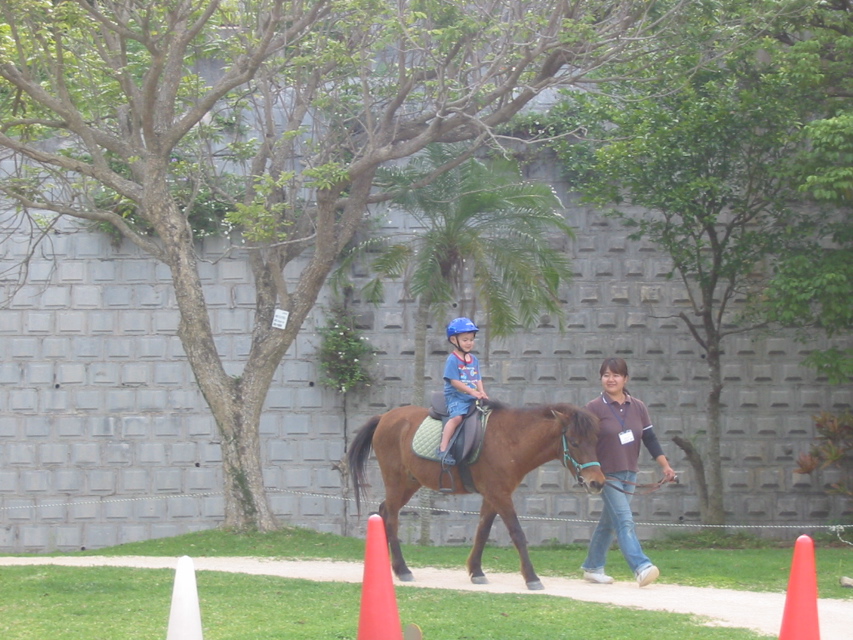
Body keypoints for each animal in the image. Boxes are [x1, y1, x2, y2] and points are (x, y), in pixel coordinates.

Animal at [348, 400, 604, 592]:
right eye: (574, 443)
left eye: (595, 440)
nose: (597, 482)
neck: (510, 439)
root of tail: (385, 417)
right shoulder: (500, 494)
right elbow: (517, 533)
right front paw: (531, 577)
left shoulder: (493, 495)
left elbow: (482, 531)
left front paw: (476, 571)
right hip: (396, 481)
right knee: (391, 517)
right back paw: (402, 569)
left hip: (409, 483)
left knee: (383, 510)